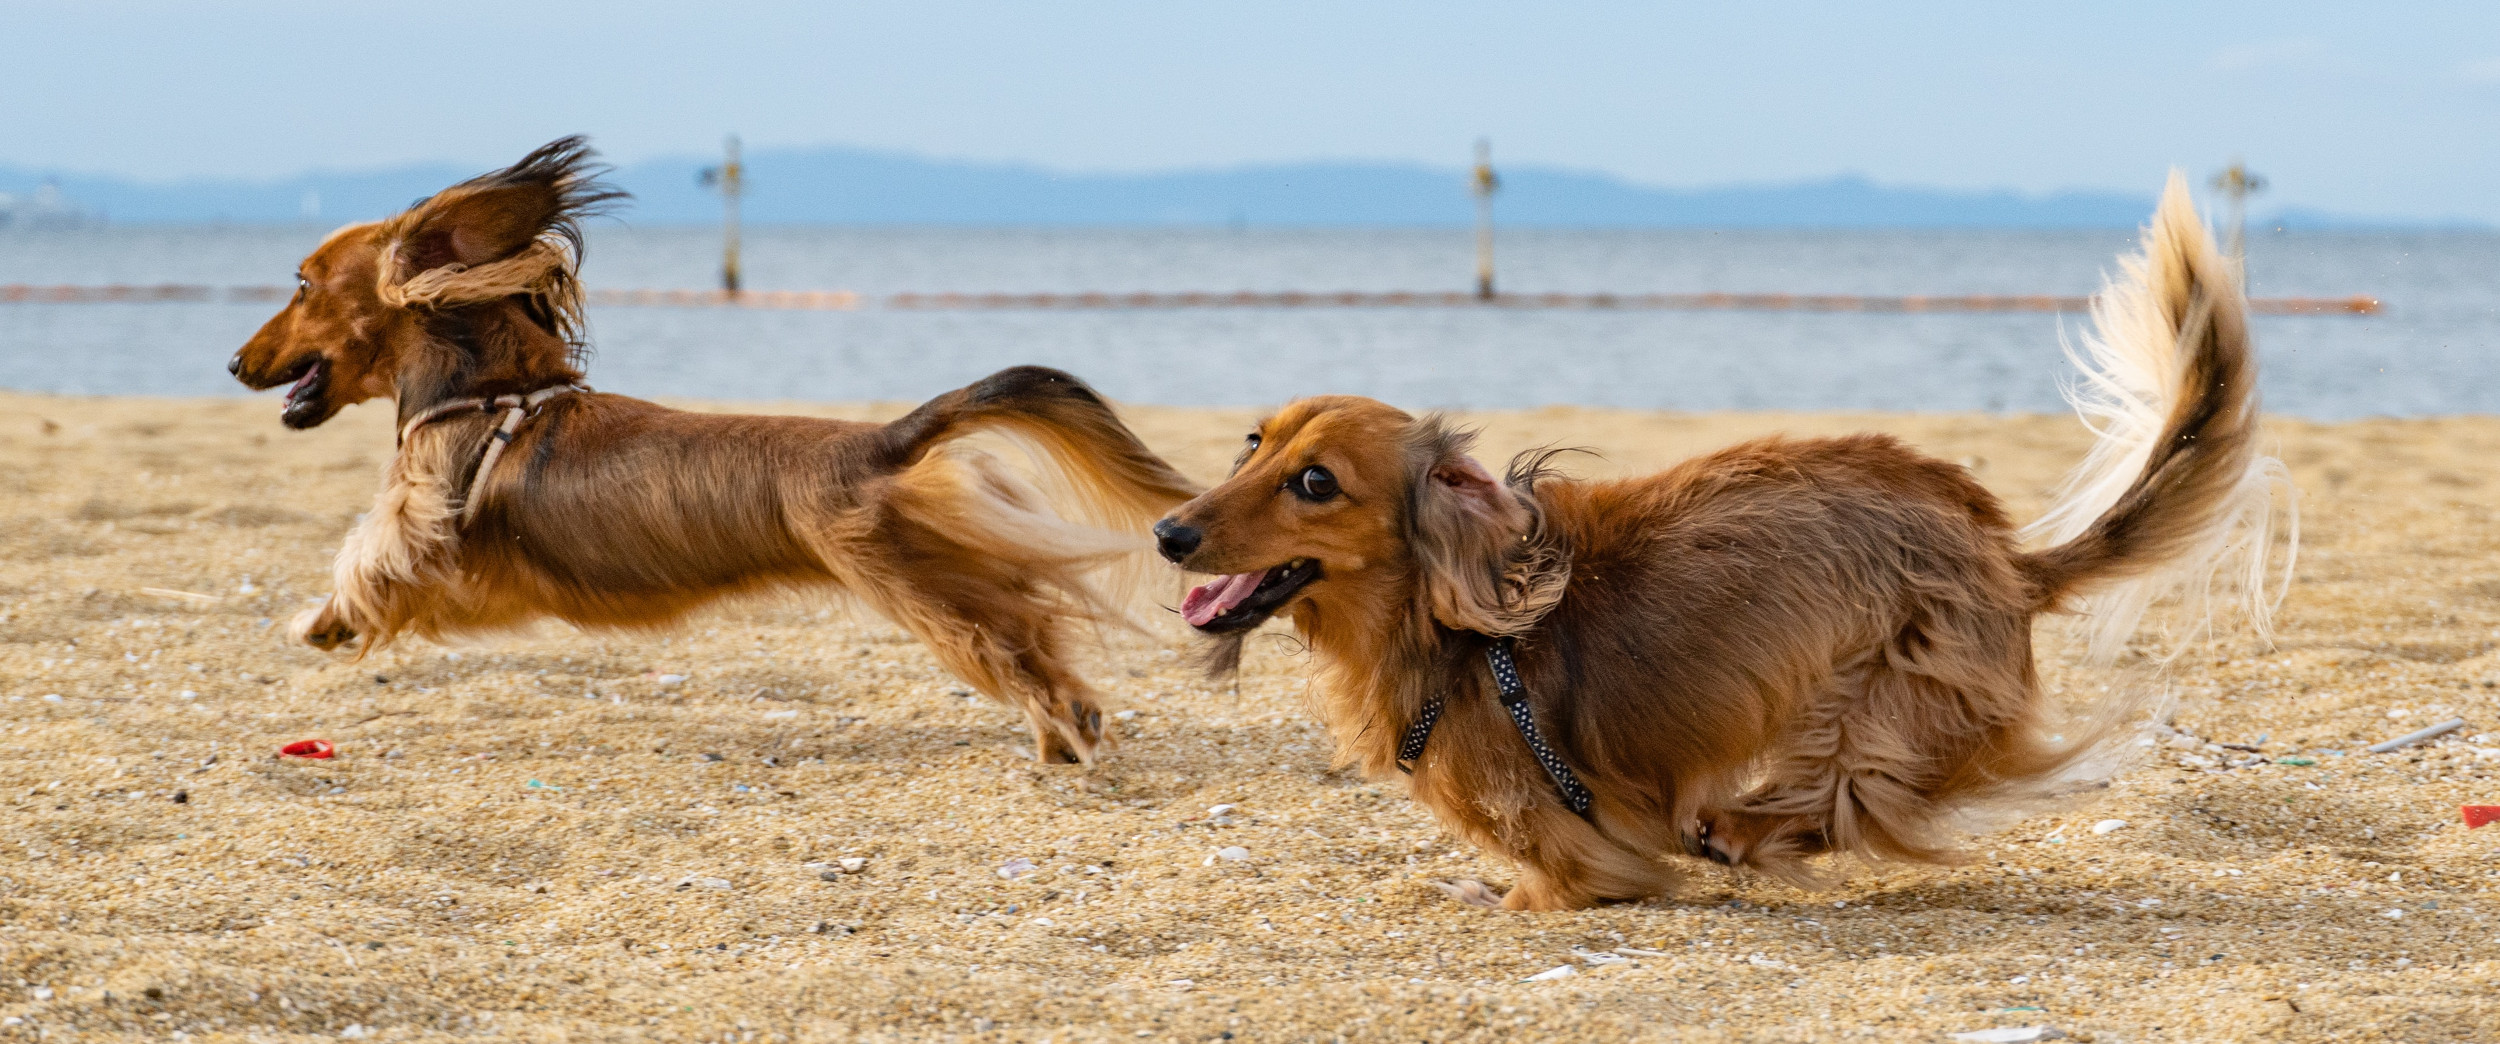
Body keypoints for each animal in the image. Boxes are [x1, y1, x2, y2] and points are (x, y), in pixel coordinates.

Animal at [230, 134, 1195, 764]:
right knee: (1037, 626)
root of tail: (885, 441)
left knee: (1020, 645)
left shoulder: (424, 522)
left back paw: (1066, 727)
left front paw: (322, 619)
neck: (488, 390)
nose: (236, 363)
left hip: (921, 583)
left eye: (303, 284)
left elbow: (368, 555)